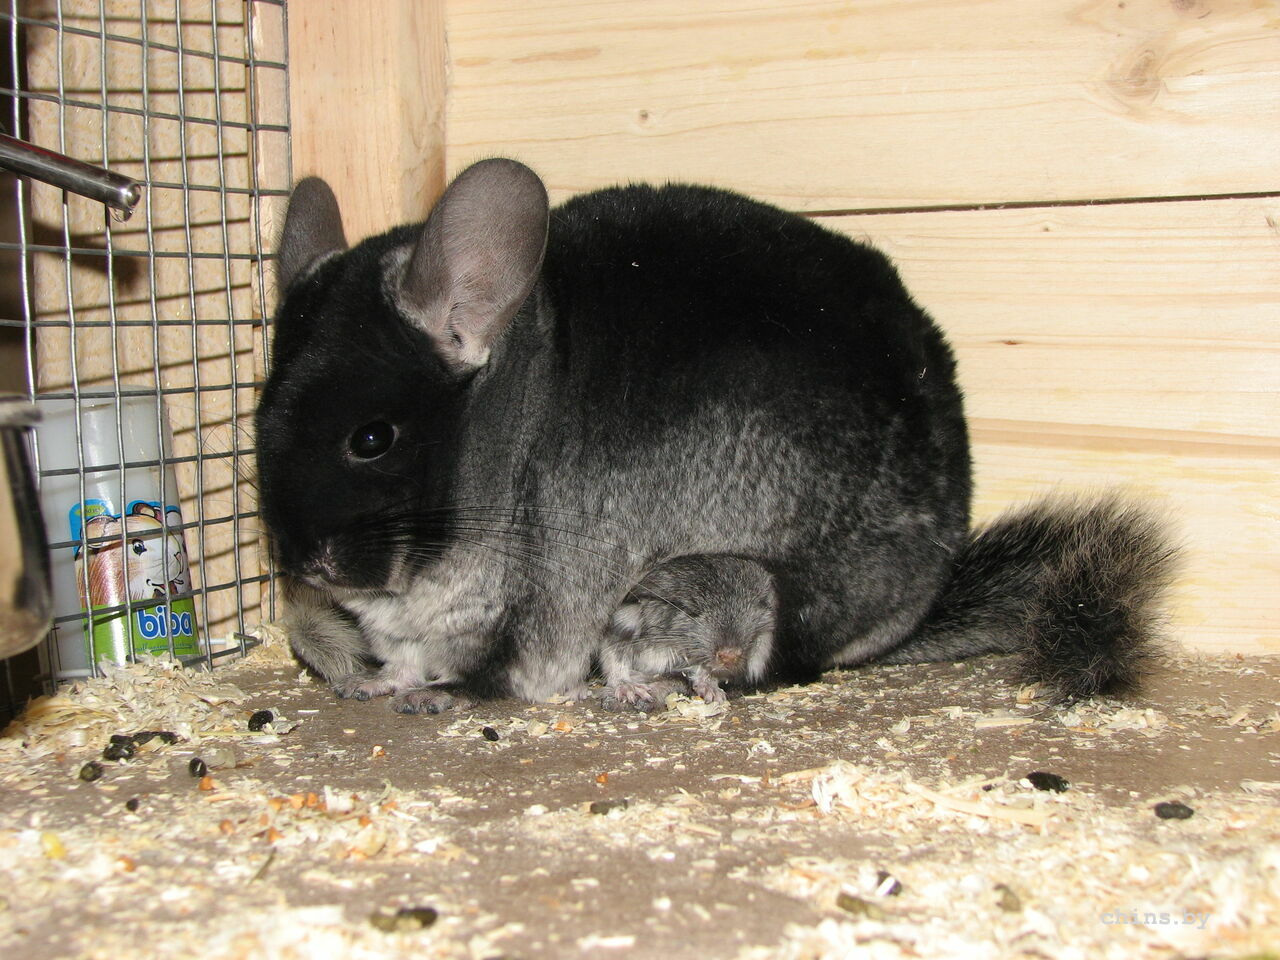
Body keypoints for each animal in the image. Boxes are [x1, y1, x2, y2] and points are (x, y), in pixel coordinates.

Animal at [600, 554, 777, 711]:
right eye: (690, 610)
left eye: (758, 604)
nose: (729, 656)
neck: (671, 643)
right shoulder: (619, 629)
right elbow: (615, 662)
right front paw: (629, 689)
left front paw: (712, 692)